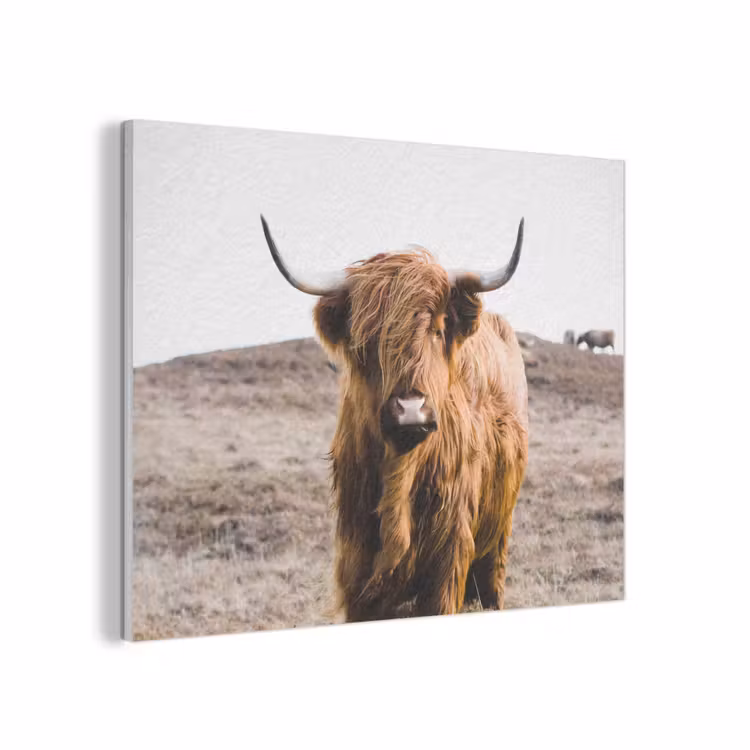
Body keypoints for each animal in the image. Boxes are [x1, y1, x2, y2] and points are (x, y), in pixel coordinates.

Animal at [261, 215, 529, 622]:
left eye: (437, 329)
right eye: (367, 339)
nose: (410, 409)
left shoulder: (448, 560)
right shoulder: (355, 565)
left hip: (499, 533)